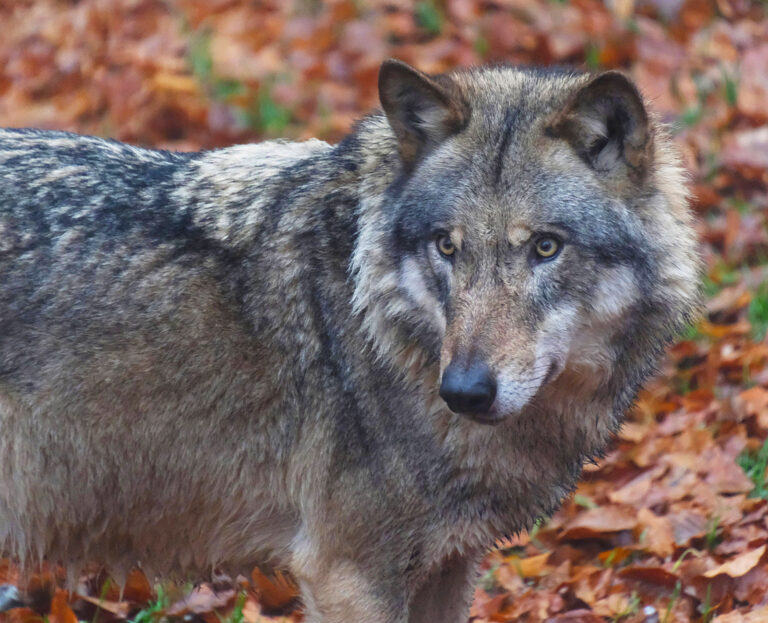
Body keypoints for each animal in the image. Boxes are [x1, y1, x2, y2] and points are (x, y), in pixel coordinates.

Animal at [0, 59, 698, 622]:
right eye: (448, 246)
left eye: (546, 247)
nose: (464, 392)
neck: (381, 329)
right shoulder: (348, 576)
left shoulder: (448, 567)